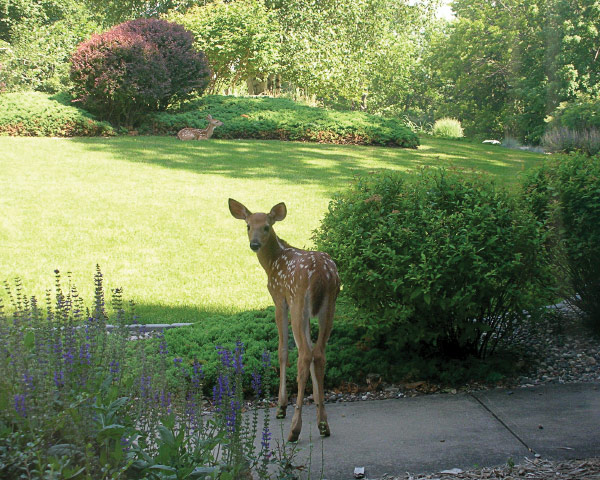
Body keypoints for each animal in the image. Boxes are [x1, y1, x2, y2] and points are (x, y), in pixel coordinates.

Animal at [229, 199, 340, 442]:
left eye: (266, 227)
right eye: (248, 226)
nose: (254, 244)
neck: (273, 263)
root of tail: (321, 274)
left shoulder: (280, 299)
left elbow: (282, 350)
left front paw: (281, 406)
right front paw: (317, 403)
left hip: (298, 301)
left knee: (304, 355)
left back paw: (294, 429)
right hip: (329, 306)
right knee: (318, 354)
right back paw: (324, 424)